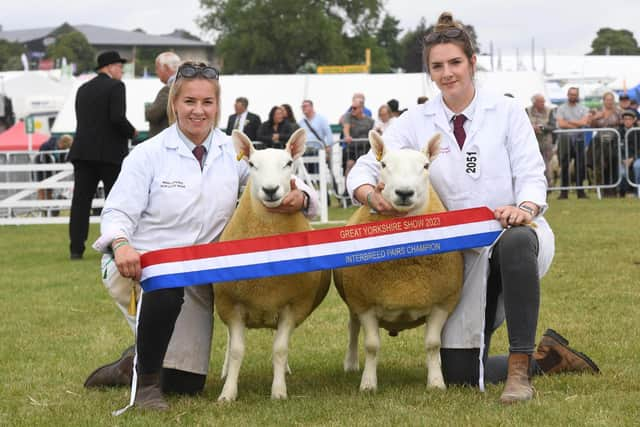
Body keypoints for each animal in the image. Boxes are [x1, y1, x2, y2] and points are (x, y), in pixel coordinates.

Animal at [218, 128, 332, 402]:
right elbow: (236, 350)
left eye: (289, 163)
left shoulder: (292, 306)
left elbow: (280, 349)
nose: (270, 190)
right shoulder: (232, 305)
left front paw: (279, 391)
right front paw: (228, 393)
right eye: (251, 164)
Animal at [332, 131, 462, 394]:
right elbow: (371, 346)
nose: (404, 193)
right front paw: (368, 384)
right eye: (383, 164)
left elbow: (433, 344)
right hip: (352, 300)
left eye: (426, 165)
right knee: (353, 330)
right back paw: (351, 364)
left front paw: (436, 382)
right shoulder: (365, 302)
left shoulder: (442, 302)